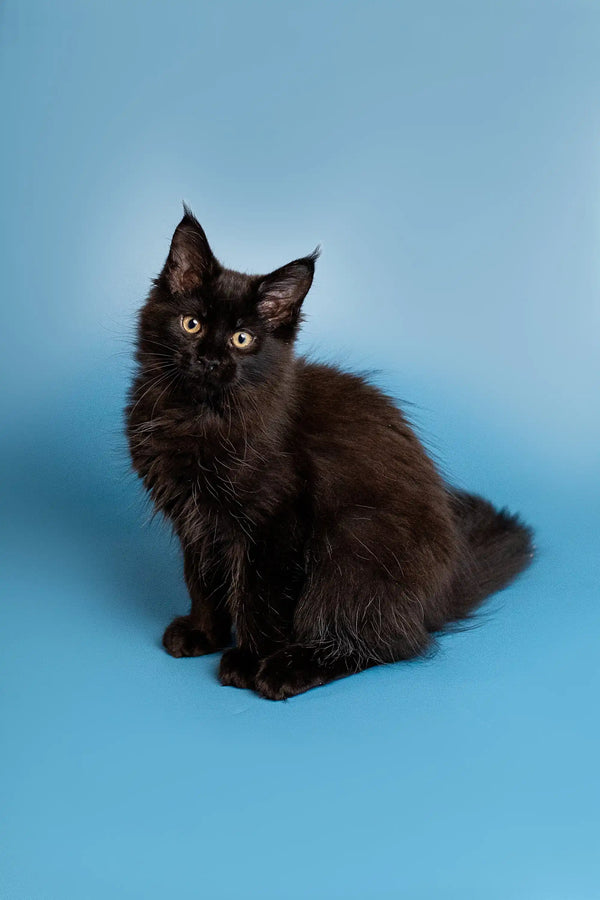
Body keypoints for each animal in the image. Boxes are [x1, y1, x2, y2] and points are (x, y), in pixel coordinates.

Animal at [126, 207, 536, 700]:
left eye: (242, 339)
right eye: (193, 325)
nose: (209, 359)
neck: (199, 415)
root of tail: (435, 595)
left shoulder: (272, 521)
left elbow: (257, 596)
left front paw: (248, 660)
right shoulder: (195, 519)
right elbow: (203, 580)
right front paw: (204, 633)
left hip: (352, 544)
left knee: (386, 642)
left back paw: (288, 668)